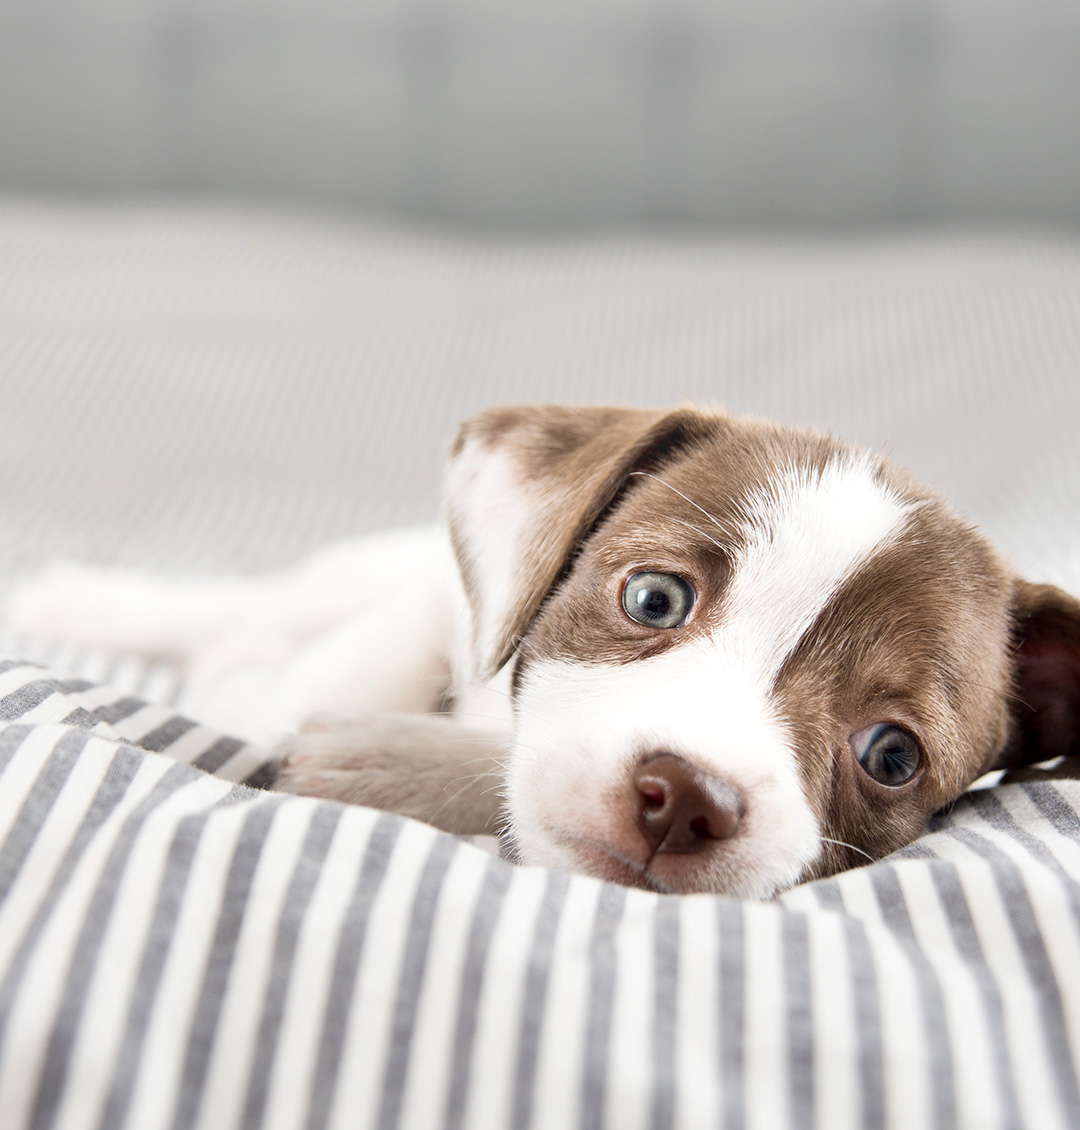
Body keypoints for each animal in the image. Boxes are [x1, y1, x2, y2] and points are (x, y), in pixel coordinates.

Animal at [8, 402, 1080, 894]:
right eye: (653, 598)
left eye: (890, 756)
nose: (687, 796)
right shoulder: (436, 603)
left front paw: (392, 762)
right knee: (247, 607)